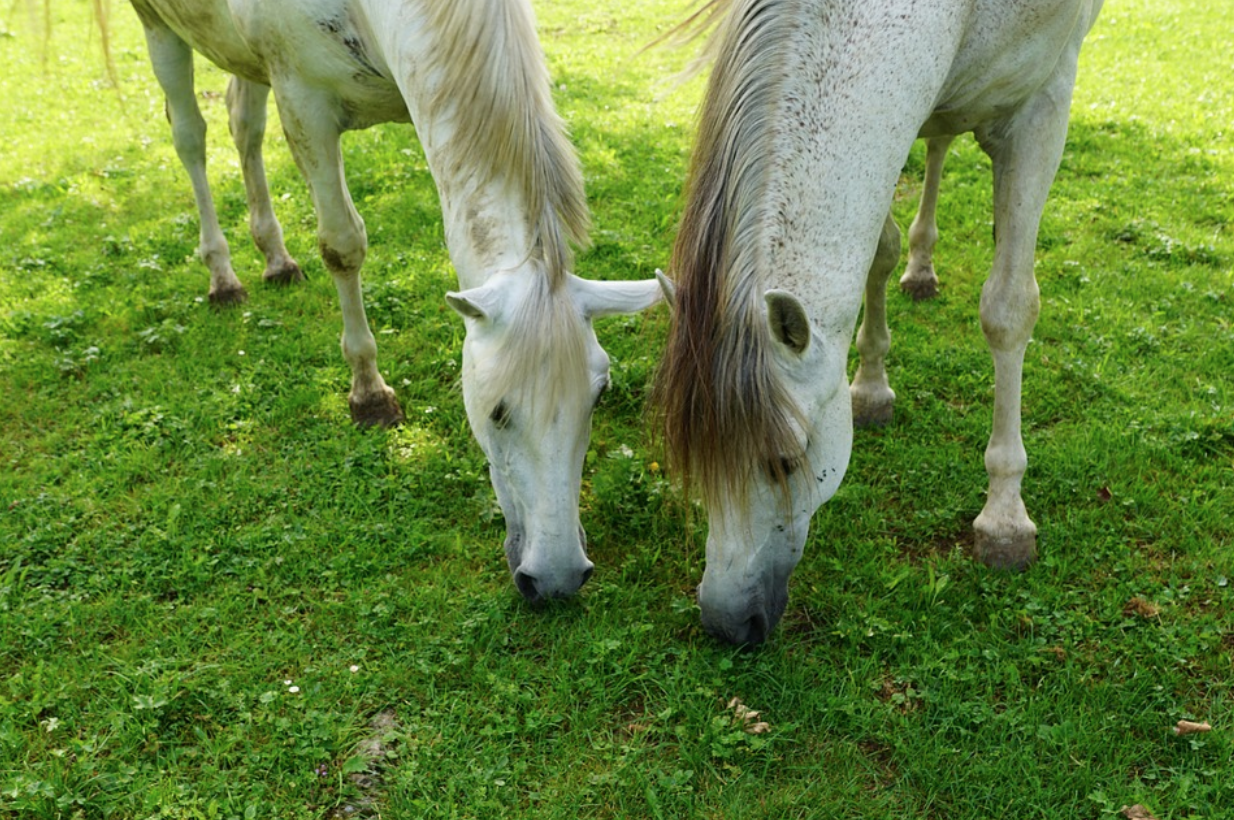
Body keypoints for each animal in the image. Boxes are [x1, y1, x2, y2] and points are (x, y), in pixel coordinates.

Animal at [130, 0, 663, 601]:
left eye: (597, 398)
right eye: (497, 412)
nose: (557, 578)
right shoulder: (305, 107)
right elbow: (342, 246)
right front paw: (368, 393)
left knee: (243, 124)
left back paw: (276, 257)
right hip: (160, 30)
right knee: (190, 136)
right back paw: (222, 275)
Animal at [653, 0, 1104, 644]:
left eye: (786, 460)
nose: (726, 622)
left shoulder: (1043, 105)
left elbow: (1009, 311)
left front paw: (1005, 518)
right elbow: (879, 252)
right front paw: (868, 389)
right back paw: (920, 268)